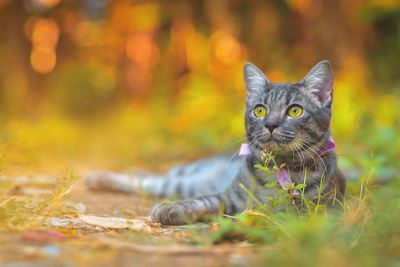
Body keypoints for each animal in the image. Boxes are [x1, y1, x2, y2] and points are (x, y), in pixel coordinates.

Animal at [85, 59, 346, 225]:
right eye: (260, 110)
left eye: (294, 111)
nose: (270, 124)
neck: (278, 171)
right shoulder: (228, 197)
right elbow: (203, 201)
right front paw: (173, 208)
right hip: (182, 180)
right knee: (148, 179)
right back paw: (96, 177)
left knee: (145, 180)